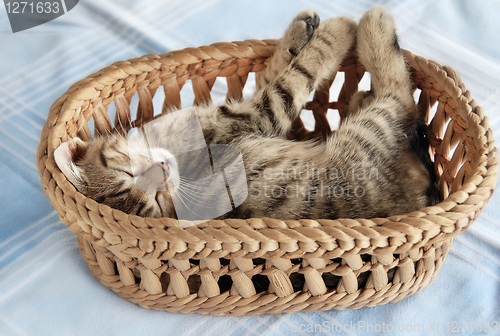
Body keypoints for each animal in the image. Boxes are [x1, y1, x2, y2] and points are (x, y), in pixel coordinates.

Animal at [53, 7, 438, 228]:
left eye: (126, 173)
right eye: (156, 201)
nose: (162, 171)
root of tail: (418, 197)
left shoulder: (245, 109)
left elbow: (272, 72)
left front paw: (298, 33)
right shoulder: (256, 117)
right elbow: (293, 79)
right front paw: (336, 31)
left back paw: (359, 90)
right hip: (369, 134)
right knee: (399, 93)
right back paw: (374, 25)